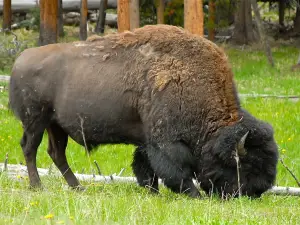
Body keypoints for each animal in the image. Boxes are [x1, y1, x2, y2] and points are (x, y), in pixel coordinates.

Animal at [8, 24, 278, 197]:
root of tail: (20, 60)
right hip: (35, 121)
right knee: (30, 148)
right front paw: (193, 195)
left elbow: (145, 166)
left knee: (56, 153)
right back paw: (38, 186)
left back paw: (77, 187)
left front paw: (153, 192)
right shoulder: (165, 142)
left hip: (56, 125)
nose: (254, 193)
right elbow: (175, 170)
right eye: (245, 166)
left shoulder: (146, 141)